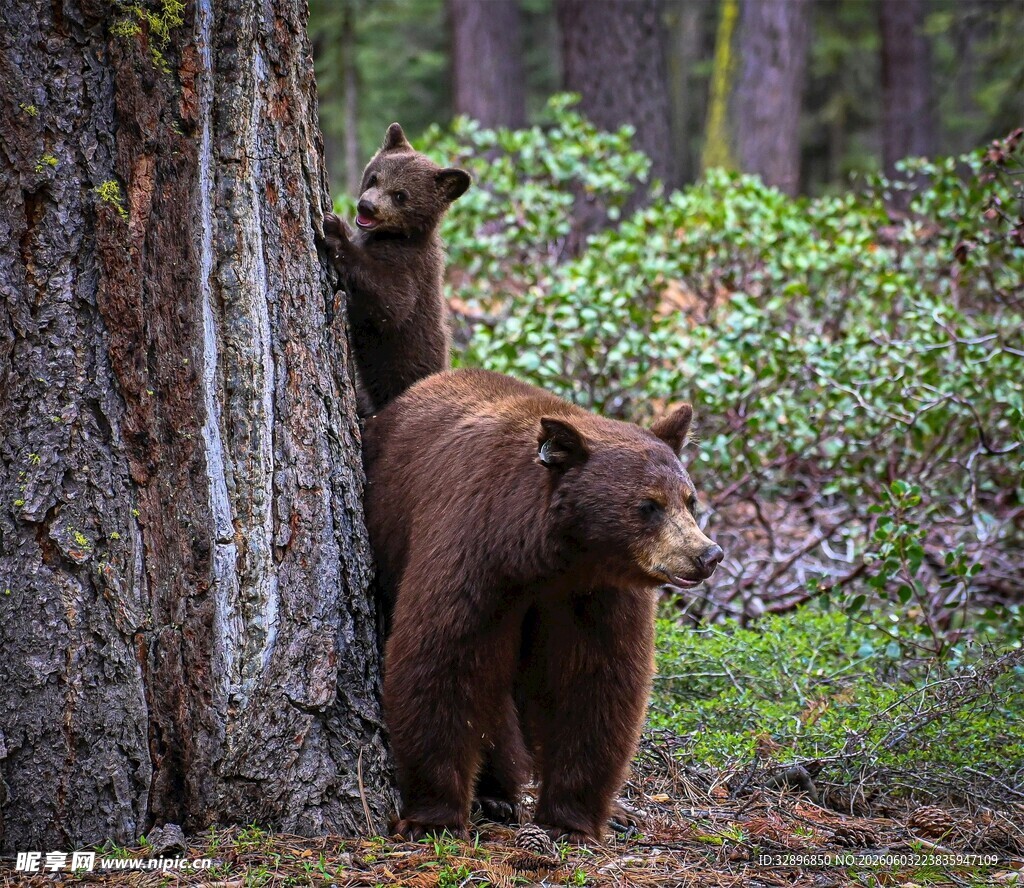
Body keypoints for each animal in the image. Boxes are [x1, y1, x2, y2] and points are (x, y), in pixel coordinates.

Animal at [322, 123, 471, 416]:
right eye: (374, 178)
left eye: (400, 195)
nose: (366, 206)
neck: (396, 236)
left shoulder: (411, 266)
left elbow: (393, 303)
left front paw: (336, 230)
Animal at [361, 368, 724, 842]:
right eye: (649, 505)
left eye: (689, 499)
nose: (707, 554)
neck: (544, 558)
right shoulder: (474, 551)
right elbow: (442, 661)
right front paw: (433, 817)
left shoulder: (595, 594)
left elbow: (595, 684)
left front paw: (570, 821)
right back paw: (494, 793)